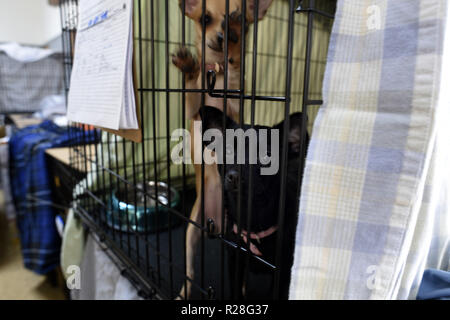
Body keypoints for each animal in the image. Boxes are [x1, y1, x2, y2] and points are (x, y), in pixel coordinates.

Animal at [172, 0, 272, 300]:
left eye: (240, 23)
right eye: (205, 19)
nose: (222, 36)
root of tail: (214, 226)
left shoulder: (237, 107)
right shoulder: (193, 111)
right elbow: (191, 91)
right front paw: (189, 67)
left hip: (234, 237)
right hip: (192, 231)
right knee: (191, 272)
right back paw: (183, 292)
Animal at [200, 106, 310, 298]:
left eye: (266, 156)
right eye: (228, 151)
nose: (234, 176)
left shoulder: (282, 274)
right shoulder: (234, 260)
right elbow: (236, 290)